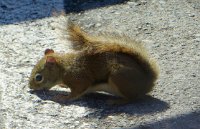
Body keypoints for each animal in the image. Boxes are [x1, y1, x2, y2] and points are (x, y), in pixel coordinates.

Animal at [28, 21, 159, 105]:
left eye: (38, 77)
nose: (30, 88)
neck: (64, 67)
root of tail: (148, 82)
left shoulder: (77, 77)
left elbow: (78, 91)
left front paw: (64, 97)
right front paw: (62, 85)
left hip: (119, 77)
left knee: (132, 98)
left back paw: (116, 101)